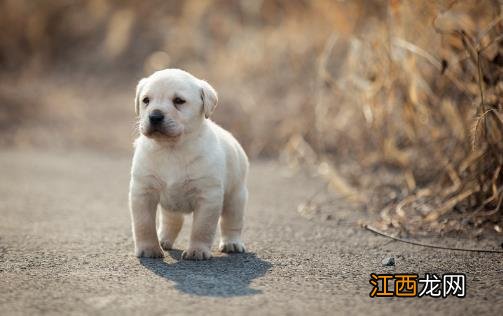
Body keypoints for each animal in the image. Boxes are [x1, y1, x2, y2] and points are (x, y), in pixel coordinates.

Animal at [129, 68, 249, 260]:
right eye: (146, 100)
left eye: (179, 101)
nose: (155, 116)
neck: (171, 148)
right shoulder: (143, 191)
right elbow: (143, 224)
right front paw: (149, 249)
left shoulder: (208, 196)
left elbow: (202, 228)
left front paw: (197, 251)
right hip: (170, 205)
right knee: (172, 221)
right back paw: (163, 239)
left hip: (236, 196)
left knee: (232, 221)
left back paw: (232, 243)